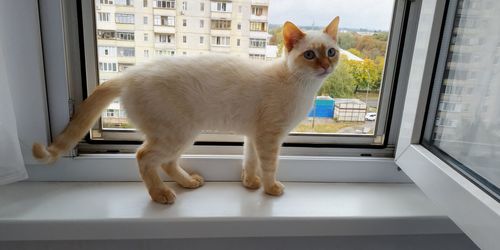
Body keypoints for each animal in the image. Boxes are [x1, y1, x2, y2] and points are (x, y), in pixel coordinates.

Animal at [33, 18, 340, 205]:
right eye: (310, 55)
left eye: (331, 52)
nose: (326, 66)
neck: (300, 85)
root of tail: (130, 74)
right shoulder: (269, 137)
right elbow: (269, 166)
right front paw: (270, 188)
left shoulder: (254, 135)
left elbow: (250, 161)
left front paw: (250, 183)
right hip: (178, 132)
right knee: (144, 157)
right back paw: (160, 194)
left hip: (181, 133)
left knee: (167, 163)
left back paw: (188, 182)